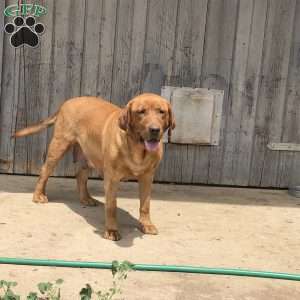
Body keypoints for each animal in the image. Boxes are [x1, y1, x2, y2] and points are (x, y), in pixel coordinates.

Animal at [12, 94, 175, 241]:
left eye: (161, 112)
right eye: (141, 112)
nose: (155, 129)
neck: (137, 149)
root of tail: (67, 102)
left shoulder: (147, 177)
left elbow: (145, 204)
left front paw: (146, 224)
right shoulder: (111, 179)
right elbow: (111, 207)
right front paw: (111, 230)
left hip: (86, 154)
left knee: (80, 176)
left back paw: (86, 198)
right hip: (59, 146)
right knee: (45, 171)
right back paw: (38, 195)